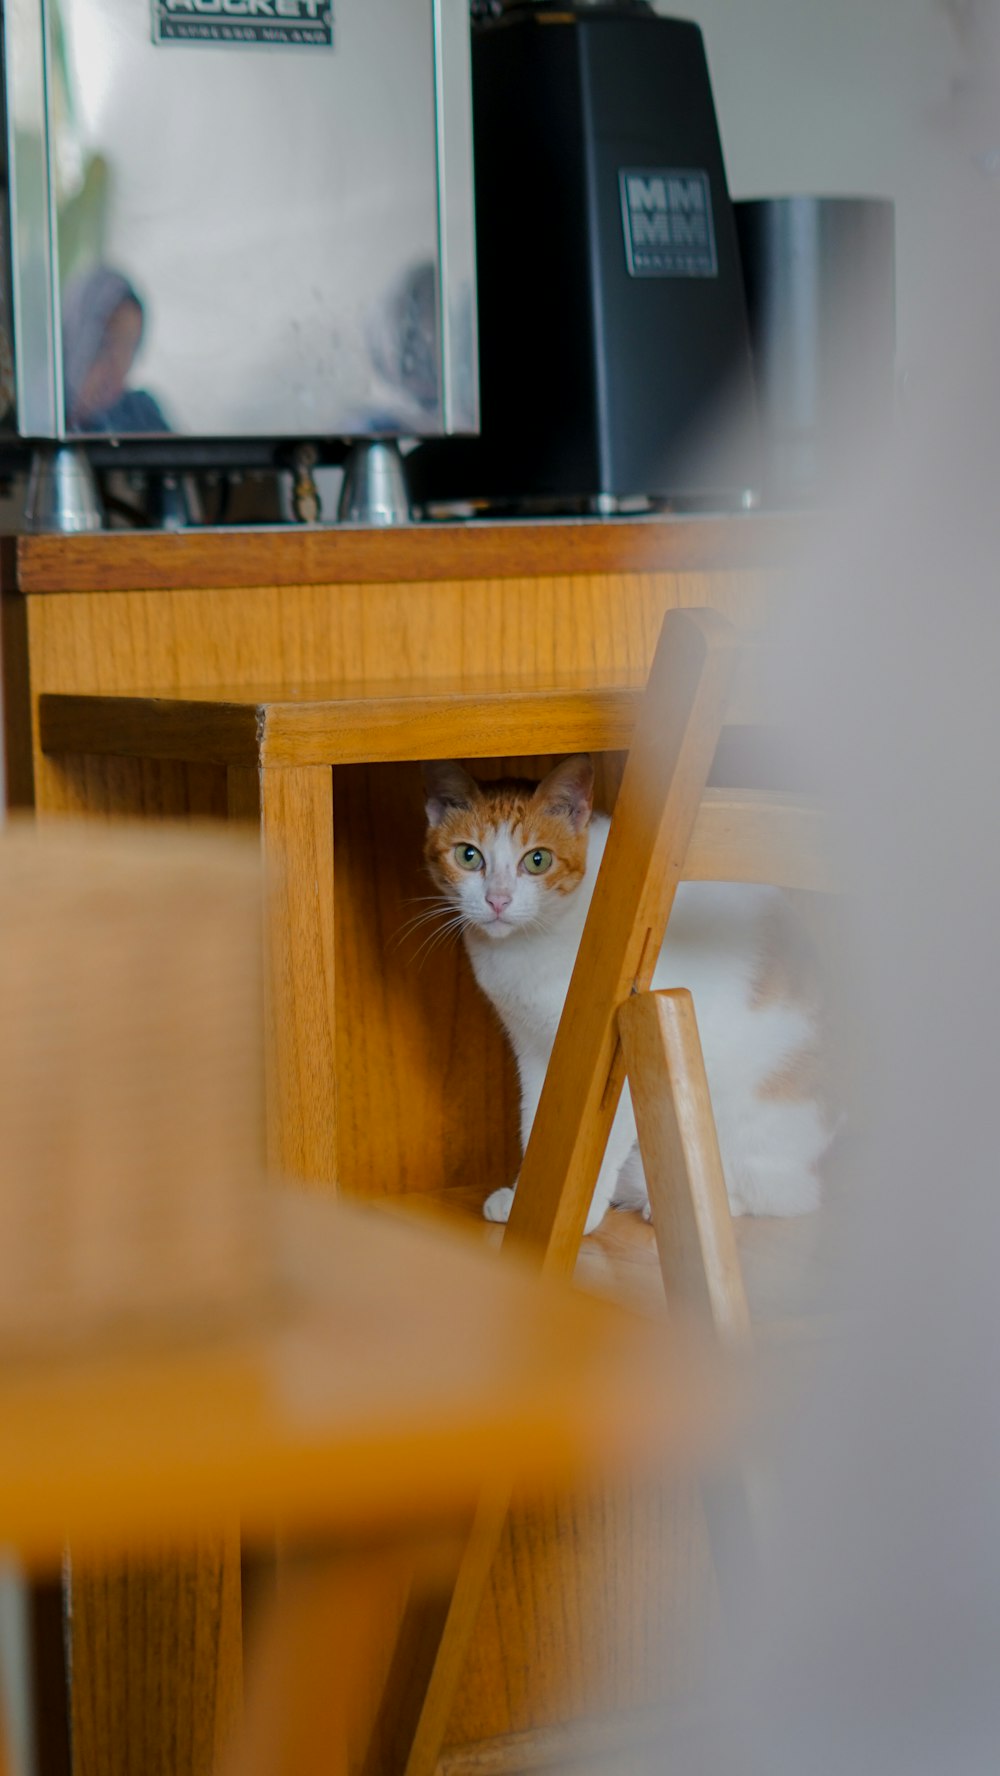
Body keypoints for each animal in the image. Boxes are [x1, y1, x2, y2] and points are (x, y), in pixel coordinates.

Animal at [422, 749, 831, 1236]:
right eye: (469, 856)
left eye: (537, 860)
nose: (498, 900)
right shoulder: (535, 1048)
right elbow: (533, 1120)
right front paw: (530, 1196)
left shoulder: (612, 1055)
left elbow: (600, 1138)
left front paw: (574, 1210)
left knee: (781, 1196)